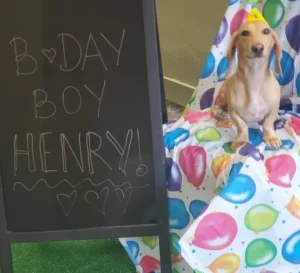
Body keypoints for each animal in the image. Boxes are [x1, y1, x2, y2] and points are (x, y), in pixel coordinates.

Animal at [217, 19, 282, 150]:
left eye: (266, 31)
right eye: (245, 33)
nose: (258, 48)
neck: (254, 78)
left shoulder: (272, 109)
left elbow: (268, 123)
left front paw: (271, 137)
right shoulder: (234, 112)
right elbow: (242, 126)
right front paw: (241, 140)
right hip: (222, 95)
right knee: (222, 106)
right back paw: (221, 112)